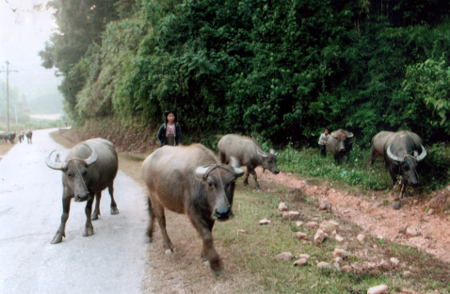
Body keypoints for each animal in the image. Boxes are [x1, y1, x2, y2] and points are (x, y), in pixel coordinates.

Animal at [142, 144, 244, 272]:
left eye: (233, 182)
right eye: (210, 183)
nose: (223, 212)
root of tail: (147, 161)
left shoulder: (210, 214)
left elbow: (209, 233)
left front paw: (205, 256)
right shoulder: (192, 213)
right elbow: (206, 235)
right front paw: (215, 263)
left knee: (151, 212)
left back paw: (148, 235)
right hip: (155, 196)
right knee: (161, 219)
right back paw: (168, 246)